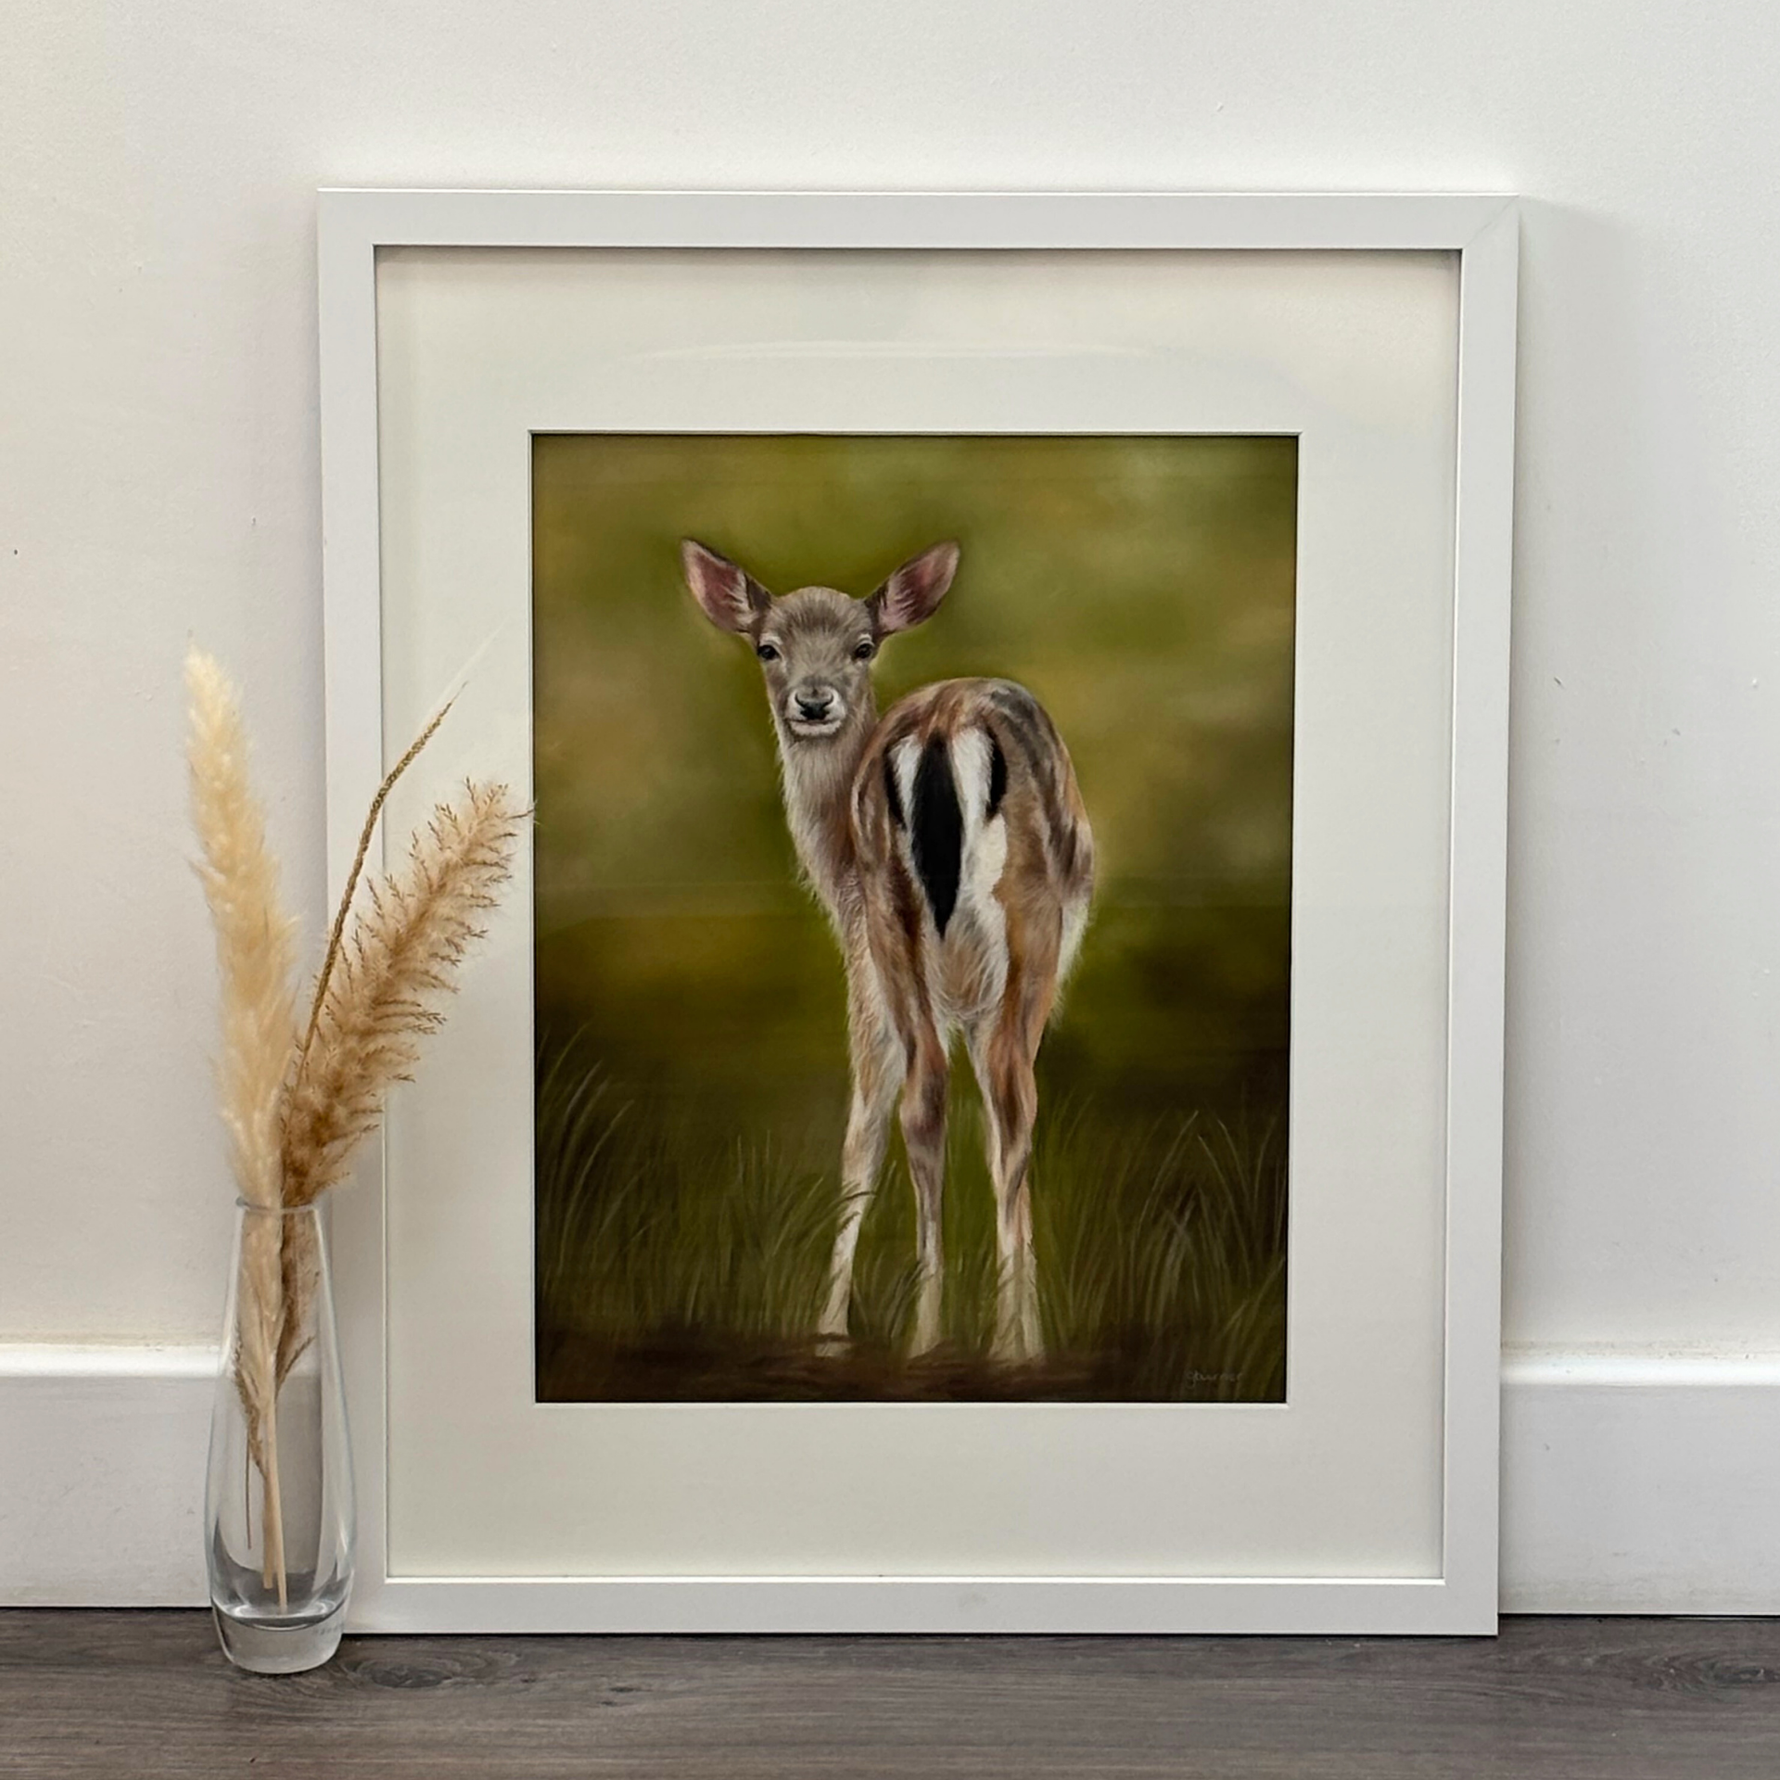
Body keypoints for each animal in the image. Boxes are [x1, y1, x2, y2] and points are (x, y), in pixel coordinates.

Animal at [682, 539, 1093, 1364]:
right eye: (767, 646)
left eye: (862, 646)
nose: (812, 701)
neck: (831, 871)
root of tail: (941, 728)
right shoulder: (884, 978)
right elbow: (887, 1128)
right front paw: (835, 1328)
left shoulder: (884, 968)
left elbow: (882, 1125)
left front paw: (832, 1330)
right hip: (1012, 931)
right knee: (1001, 1100)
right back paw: (987, 1345)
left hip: (897, 921)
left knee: (934, 1097)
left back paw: (932, 1336)